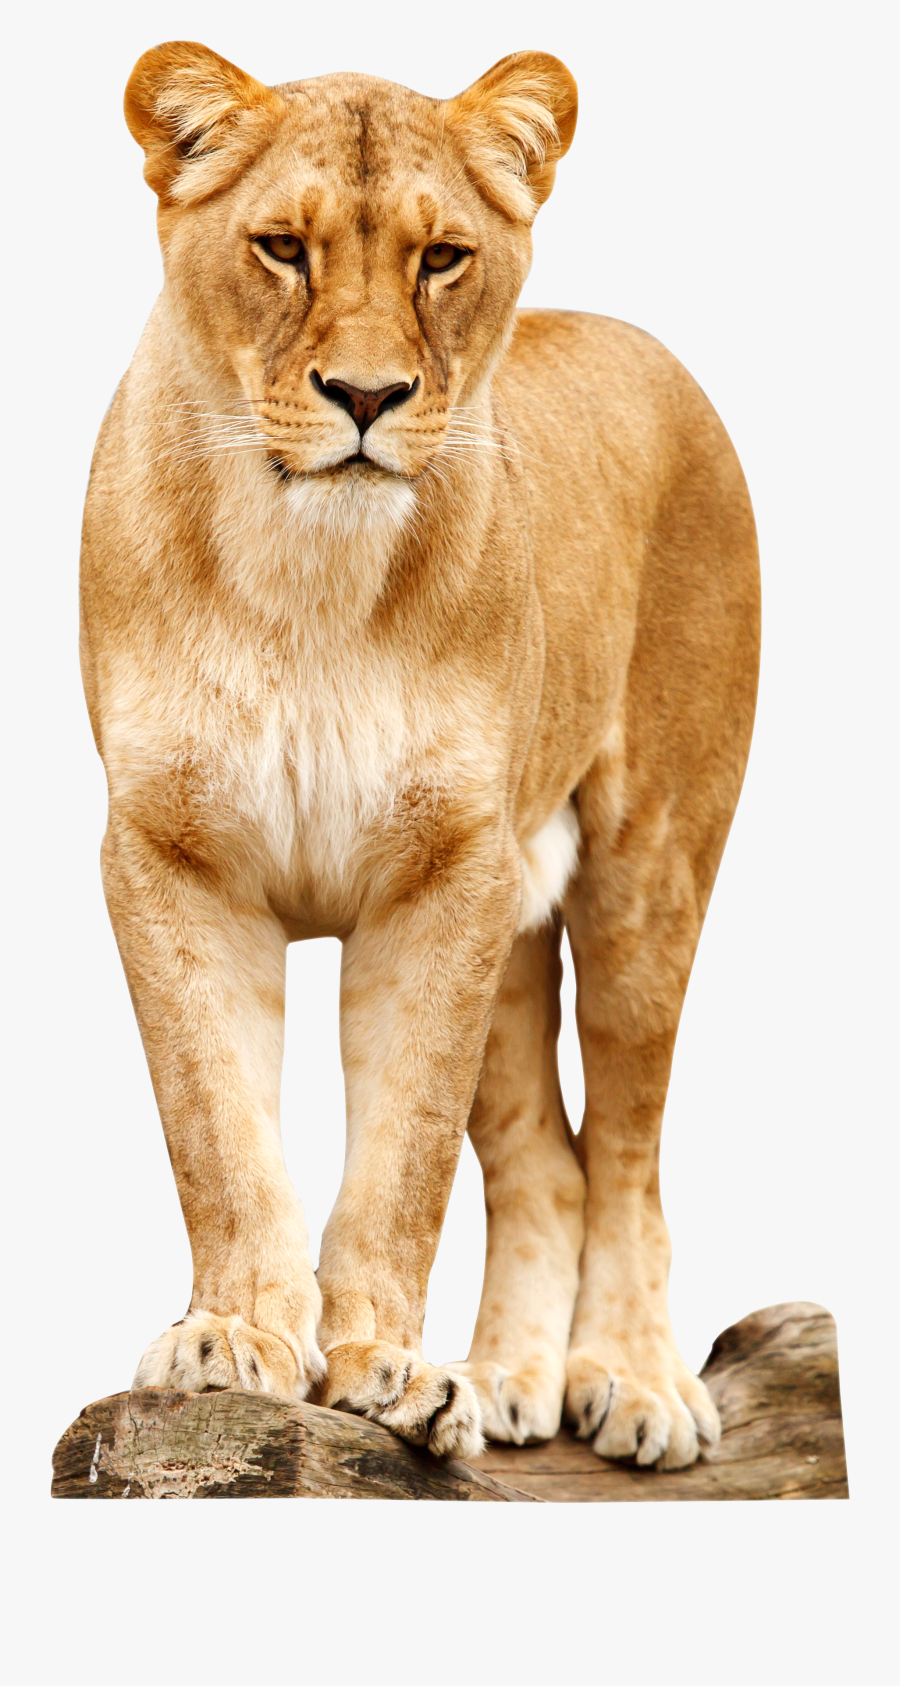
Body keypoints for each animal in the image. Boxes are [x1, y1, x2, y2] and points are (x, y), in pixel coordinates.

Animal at [80, 41, 759, 1470]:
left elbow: (404, 1157)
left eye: (443, 258)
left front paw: (383, 1369)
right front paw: (234, 1340)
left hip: (646, 874)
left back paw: (635, 1382)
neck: (307, 575)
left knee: (627, 1150)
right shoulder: (170, 856)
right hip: (515, 920)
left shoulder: (445, 873)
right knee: (548, 1161)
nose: (367, 397)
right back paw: (506, 1381)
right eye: (282, 248)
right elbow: (217, 1128)